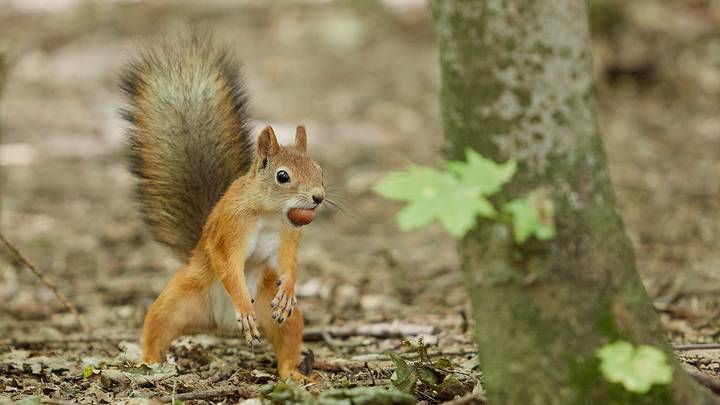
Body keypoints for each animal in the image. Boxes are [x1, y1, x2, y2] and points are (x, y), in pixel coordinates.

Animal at [120, 34, 324, 378]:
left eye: (319, 170)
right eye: (282, 176)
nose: (318, 197)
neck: (269, 214)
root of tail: (219, 324)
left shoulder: (288, 235)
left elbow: (288, 262)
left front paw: (289, 288)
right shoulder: (231, 228)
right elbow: (228, 262)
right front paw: (242, 301)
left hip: (278, 312)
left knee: (287, 341)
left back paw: (294, 374)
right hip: (179, 297)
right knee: (156, 325)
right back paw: (148, 358)